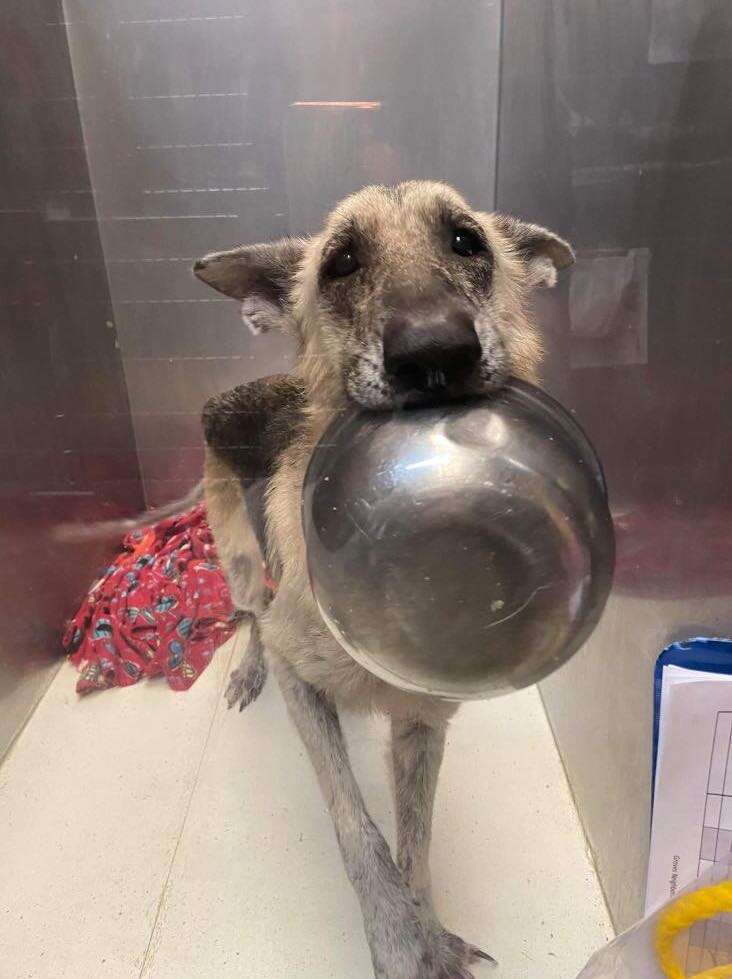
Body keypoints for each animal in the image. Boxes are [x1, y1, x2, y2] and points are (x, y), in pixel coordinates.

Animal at [133, 184, 572, 979]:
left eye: (467, 242)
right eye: (340, 263)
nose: (435, 352)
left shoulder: (425, 723)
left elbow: (416, 844)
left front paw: (429, 930)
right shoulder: (304, 687)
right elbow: (357, 827)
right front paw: (395, 938)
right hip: (241, 564)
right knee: (252, 615)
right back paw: (245, 668)